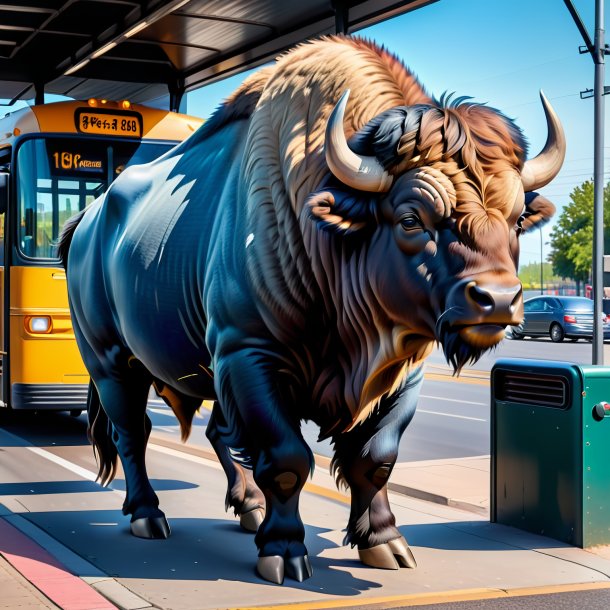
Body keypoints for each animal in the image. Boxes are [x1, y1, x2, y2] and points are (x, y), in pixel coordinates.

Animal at [59, 34, 564, 584]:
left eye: (516, 219)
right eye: (411, 218)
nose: (498, 299)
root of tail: (88, 219)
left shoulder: (401, 372)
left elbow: (375, 458)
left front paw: (384, 542)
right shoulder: (249, 357)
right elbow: (287, 459)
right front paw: (282, 550)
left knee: (214, 432)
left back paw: (248, 507)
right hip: (112, 362)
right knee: (132, 432)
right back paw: (148, 515)